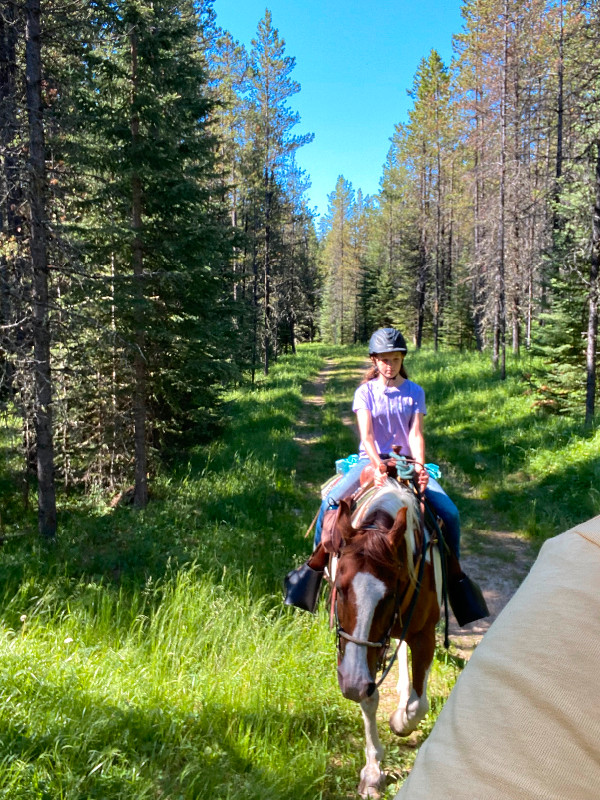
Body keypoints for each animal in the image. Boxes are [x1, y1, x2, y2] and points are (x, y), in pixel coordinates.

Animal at [332, 478, 440, 796]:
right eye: (339, 589)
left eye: (390, 595)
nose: (352, 682)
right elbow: (369, 699)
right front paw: (372, 771)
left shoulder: (425, 634)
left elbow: (418, 705)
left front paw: (399, 721)